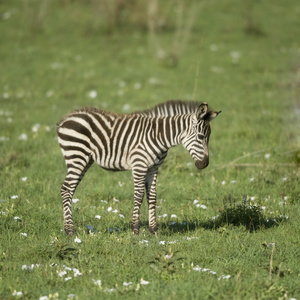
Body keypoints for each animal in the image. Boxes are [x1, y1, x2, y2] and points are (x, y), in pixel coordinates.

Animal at [56, 99, 220, 236]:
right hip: (77, 156)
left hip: (85, 159)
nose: (204, 164)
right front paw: (135, 229)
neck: (158, 135)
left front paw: (153, 230)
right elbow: (139, 195)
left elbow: (152, 197)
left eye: (209, 137)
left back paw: (67, 228)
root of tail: (65, 119)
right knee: (66, 189)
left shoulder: (153, 168)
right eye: (201, 137)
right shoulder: (139, 165)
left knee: (69, 190)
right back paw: (70, 231)